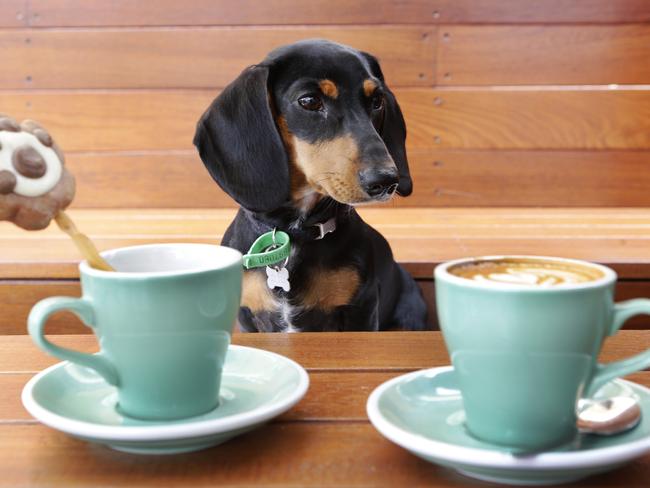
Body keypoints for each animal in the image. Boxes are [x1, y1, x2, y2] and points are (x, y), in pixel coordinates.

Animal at [194, 40, 426, 334]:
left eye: (377, 101)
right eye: (309, 101)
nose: (386, 180)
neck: (293, 233)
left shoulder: (361, 311)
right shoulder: (249, 318)